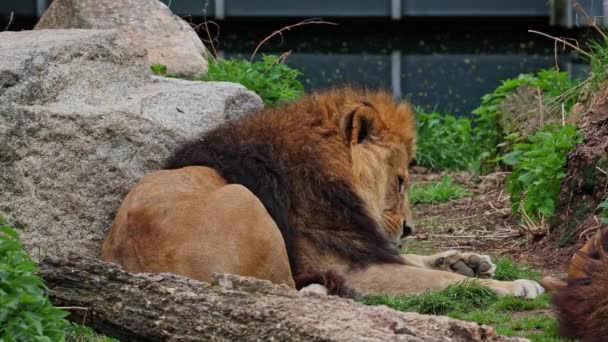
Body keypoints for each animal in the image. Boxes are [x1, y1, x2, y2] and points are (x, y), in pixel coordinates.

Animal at [102, 87, 544, 298]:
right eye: (400, 181)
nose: (409, 229)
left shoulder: (361, 246)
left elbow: (418, 262)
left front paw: (467, 260)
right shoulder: (351, 264)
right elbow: (443, 284)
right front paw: (516, 286)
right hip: (244, 200)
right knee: (281, 288)